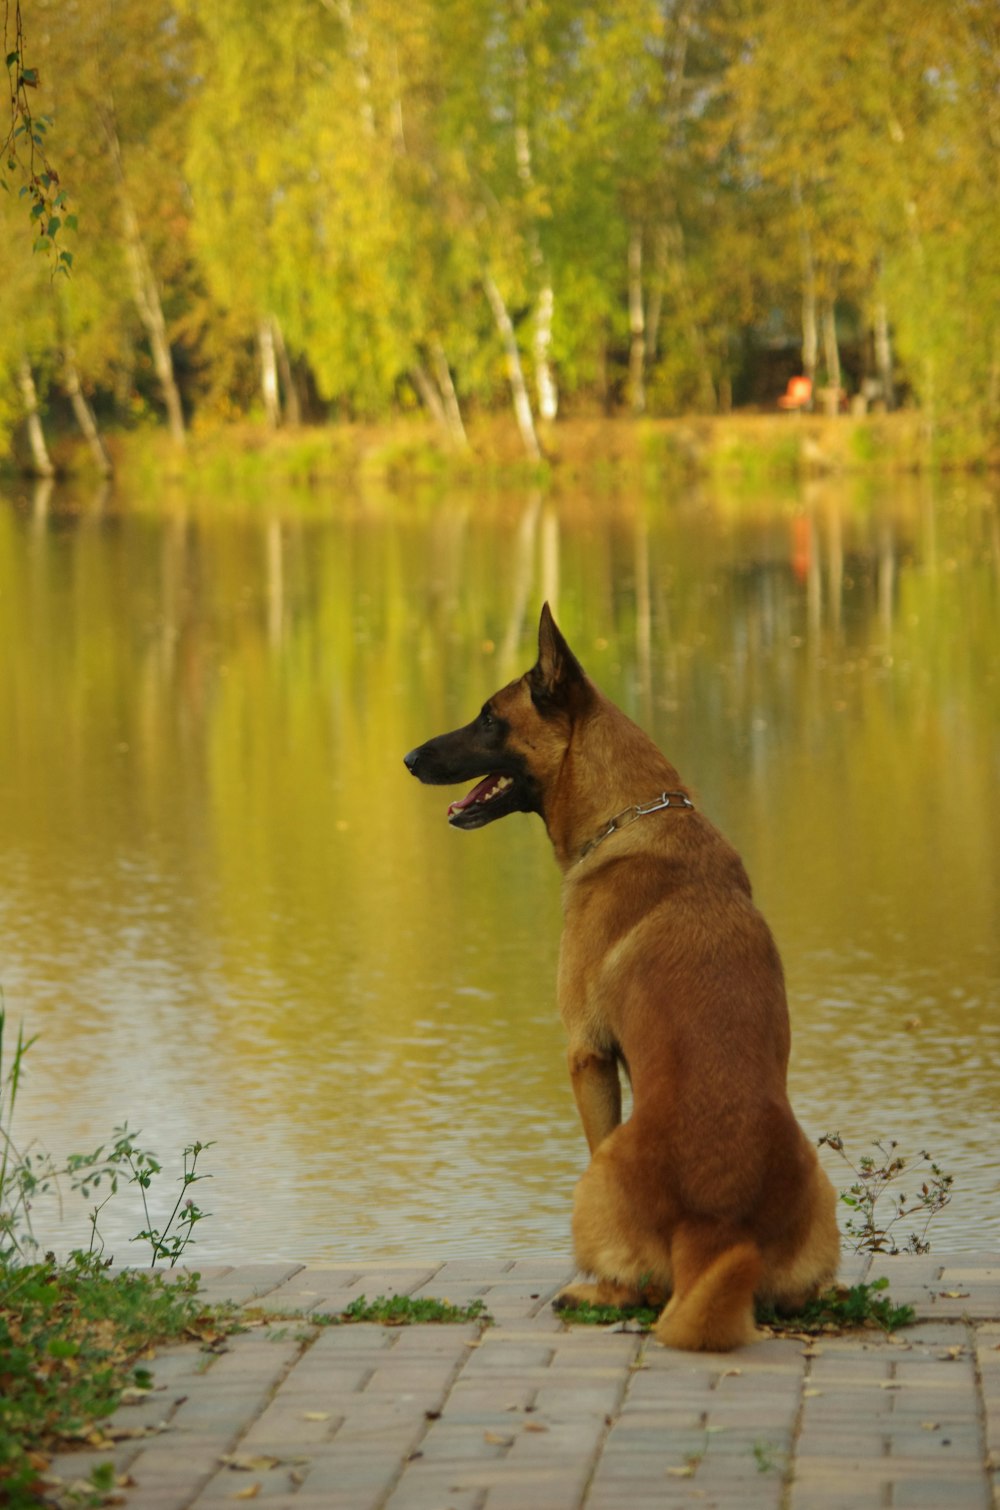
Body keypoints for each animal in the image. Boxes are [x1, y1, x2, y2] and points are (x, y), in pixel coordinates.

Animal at [404, 600, 839, 1346]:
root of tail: (718, 1231)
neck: (631, 814)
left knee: (641, 1286)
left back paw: (587, 1290)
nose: (408, 758)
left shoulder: (586, 1054)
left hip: (598, 1177)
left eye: (490, 717)